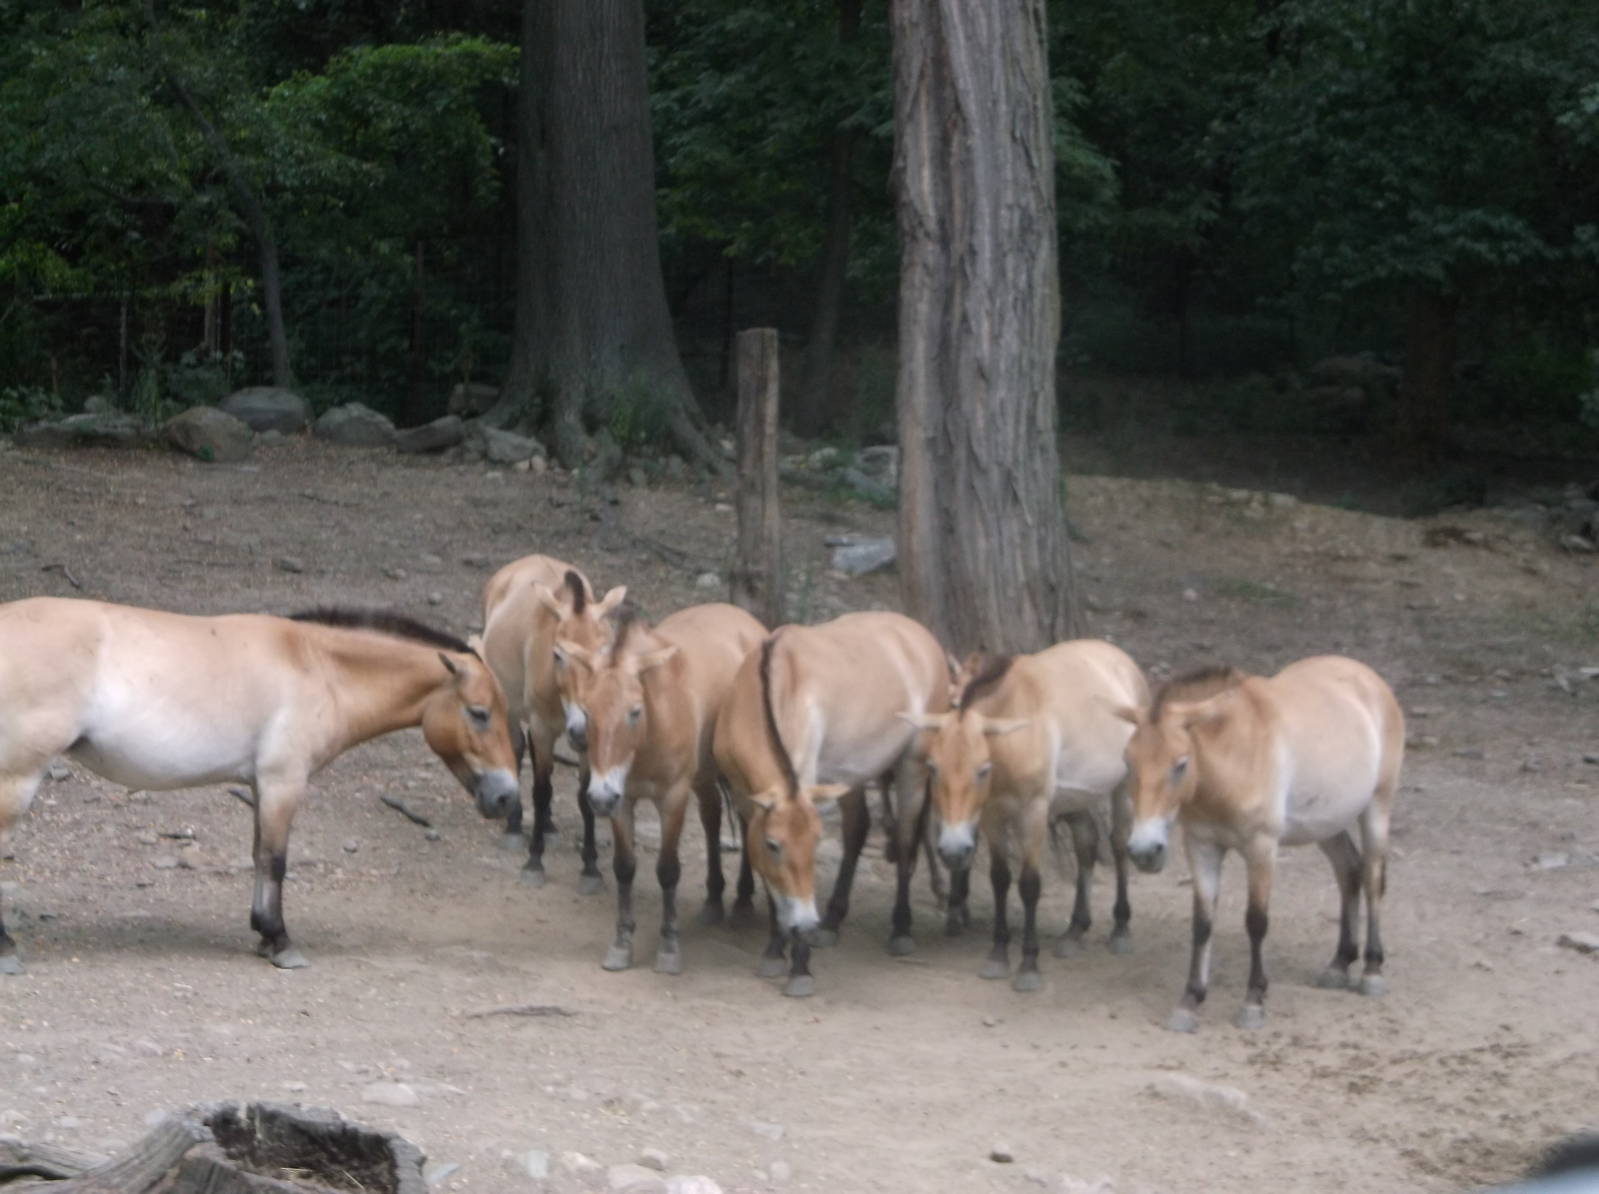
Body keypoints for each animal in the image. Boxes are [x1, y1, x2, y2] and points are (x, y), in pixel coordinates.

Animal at [0, 597, 519, 973]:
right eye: (479, 713)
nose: (506, 797)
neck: (315, 665)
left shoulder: (259, 786)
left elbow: (258, 856)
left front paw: (263, 934)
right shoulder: (282, 783)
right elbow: (275, 861)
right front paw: (280, 940)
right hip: (17, 779)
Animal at [1115, 656, 1404, 1031]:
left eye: (1180, 764)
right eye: (1128, 763)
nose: (1144, 851)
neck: (1234, 757)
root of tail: (1369, 678)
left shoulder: (1261, 848)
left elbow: (1256, 921)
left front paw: (1253, 1001)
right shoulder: (1201, 847)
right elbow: (1202, 924)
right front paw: (1190, 1001)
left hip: (1376, 808)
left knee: (1371, 879)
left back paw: (1371, 969)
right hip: (1327, 823)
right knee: (1349, 872)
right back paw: (1340, 963)